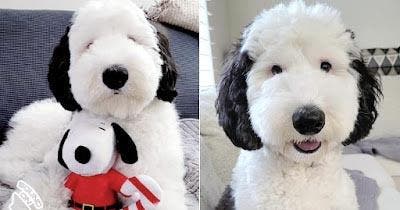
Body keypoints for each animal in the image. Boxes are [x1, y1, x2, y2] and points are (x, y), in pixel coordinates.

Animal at [0, 0, 187, 208]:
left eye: (133, 39)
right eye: (89, 45)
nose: (115, 74)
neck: (117, 117)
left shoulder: (155, 176)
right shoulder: (59, 161)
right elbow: (43, 183)